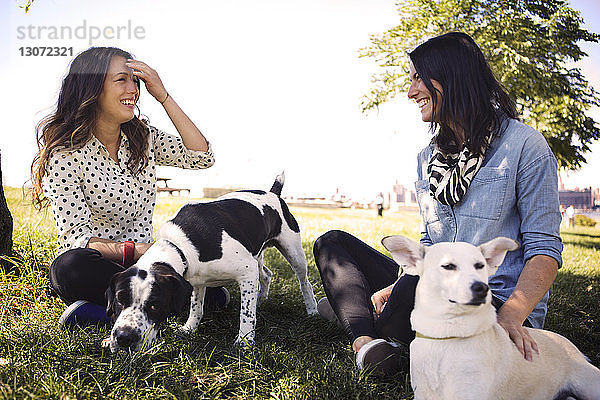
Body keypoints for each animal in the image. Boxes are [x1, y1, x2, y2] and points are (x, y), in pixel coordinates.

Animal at [104, 173, 318, 352]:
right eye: (119, 300)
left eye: (155, 305)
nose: (124, 338)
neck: (179, 245)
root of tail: (273, 192)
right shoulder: (197, 281)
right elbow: (196, 308)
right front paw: (189, 328)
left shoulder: (246, 271)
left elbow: (246, 314)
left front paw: (245, 341)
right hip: (257, 254)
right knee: (266, 274)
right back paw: (262, 299)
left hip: (293, 252)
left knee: (304, 282)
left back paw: (312, 309)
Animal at [384, 236, 600, 398]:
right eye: (448, 266)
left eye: (480, 266)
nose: (482, 288)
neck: (447, 336)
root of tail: (574, 348)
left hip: (590, 385)